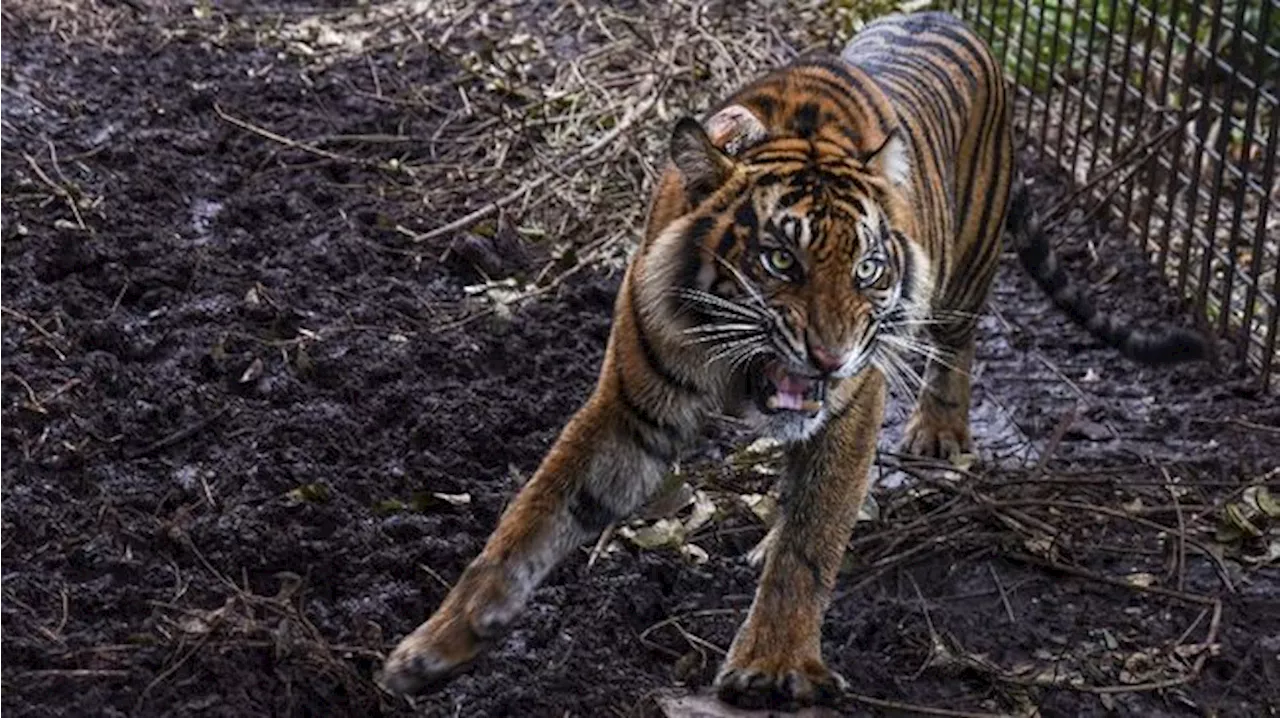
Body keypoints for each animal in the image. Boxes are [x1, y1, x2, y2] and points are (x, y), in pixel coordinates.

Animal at [373, 9, 1203, 706]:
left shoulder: (851, 409)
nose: (830, 358)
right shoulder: (631, 406)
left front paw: (772, 665)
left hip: (965, 271)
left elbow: (813, 540)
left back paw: (938, 432)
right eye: (779, 259)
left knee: (956, 345)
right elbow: (533, 515)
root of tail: (951, 17)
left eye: (867, 268)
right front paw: (431, 648)